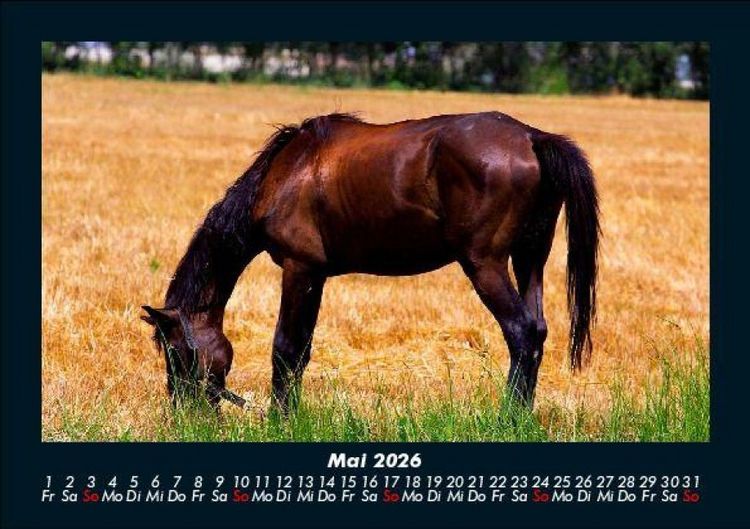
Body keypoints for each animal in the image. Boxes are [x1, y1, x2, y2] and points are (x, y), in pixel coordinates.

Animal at [141, 111, 599, 413]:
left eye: (176, 352)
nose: (186, 415)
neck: (286, 173)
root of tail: (532, 137)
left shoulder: (299, 268)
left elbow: (285, 348)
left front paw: (279, 419)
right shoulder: (317, 275)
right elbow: (302, 350)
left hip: (485, 264)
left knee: (521, 333)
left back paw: (508, 417)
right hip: (529, 259)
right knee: (537, 330)